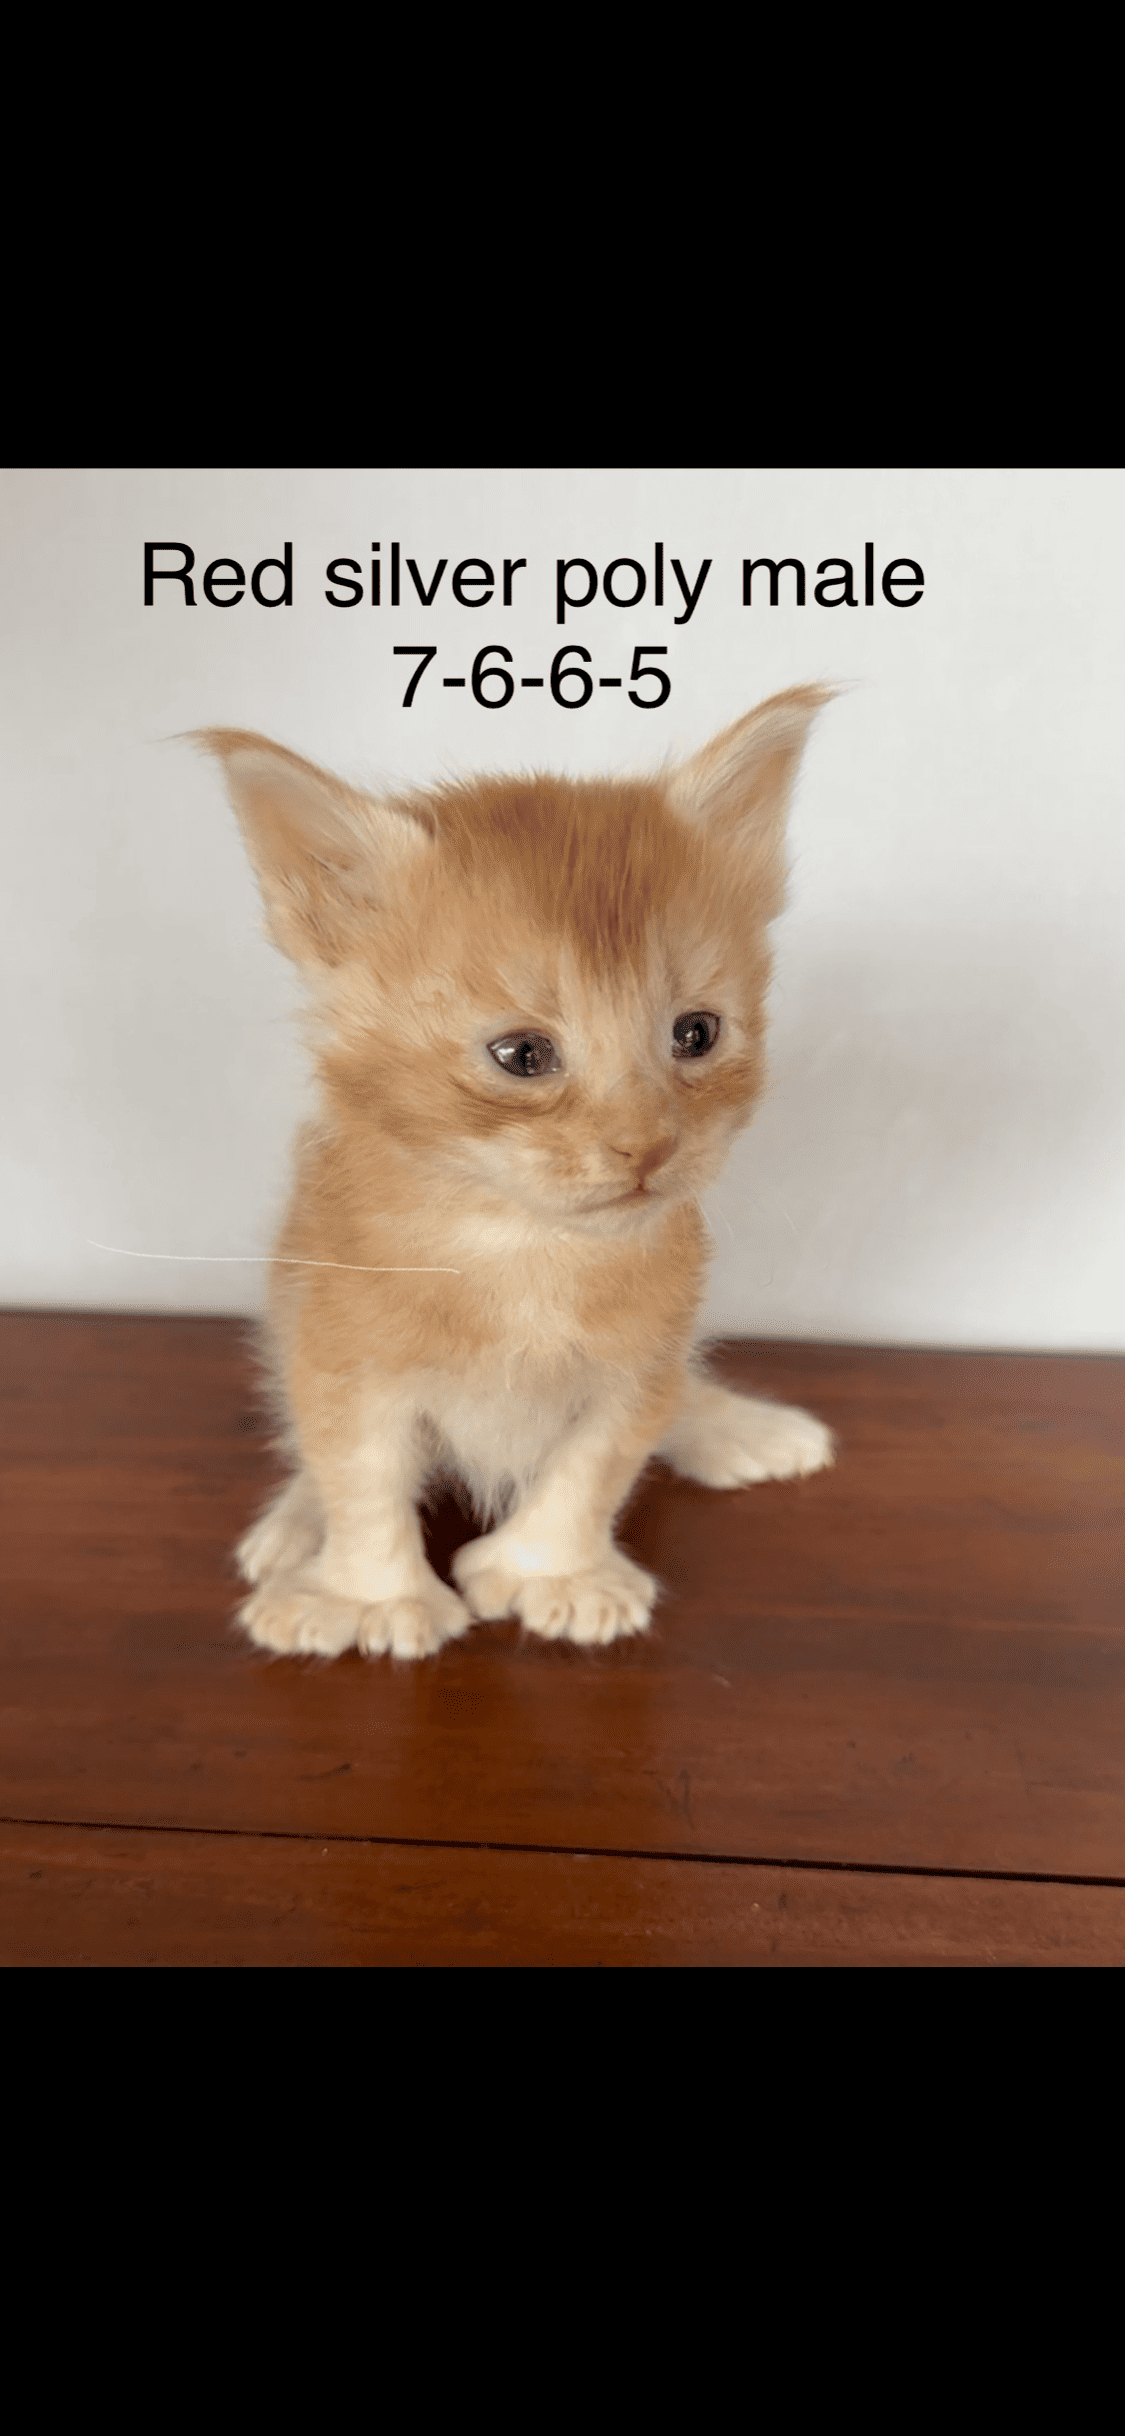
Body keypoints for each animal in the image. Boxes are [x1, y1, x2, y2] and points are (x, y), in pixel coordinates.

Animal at [198, 686, 836, 1661]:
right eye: (523, 1055)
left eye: (696, 1034)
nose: (648, 1146)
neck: (523, 1247)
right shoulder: (341, 1353)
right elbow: (358, 1475)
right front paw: (370, 1595)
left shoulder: (642, 1359)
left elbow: (598, 1462)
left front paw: (554, 1574)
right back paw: (295, 1530)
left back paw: (731, 1426)